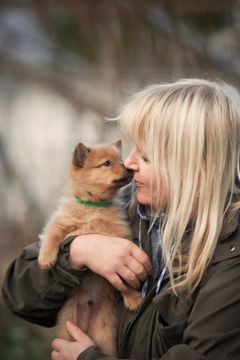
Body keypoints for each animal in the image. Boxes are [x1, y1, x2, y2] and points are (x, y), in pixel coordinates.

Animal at [37, 139, 142, 356]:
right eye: (107, 163)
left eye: (120, 160)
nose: (129, 168)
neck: (94, 207)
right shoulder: (60, 222)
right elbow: (52, 235)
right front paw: (46, 259)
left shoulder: (121, 239)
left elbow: (125, 281)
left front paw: (132, 297)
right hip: (67, 329)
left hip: (106, 339)